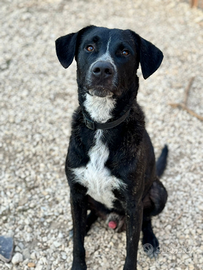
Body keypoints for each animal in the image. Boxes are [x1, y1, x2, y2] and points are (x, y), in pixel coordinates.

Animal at [55, 25, 168, 270]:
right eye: (89, 47)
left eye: (125, 52)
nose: (102, 69)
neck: (102, 124)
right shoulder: (75, 192)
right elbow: (78, 244)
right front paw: (78, 263)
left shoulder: (133, 204)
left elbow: (131, 250)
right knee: (89, 215)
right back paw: (84, 225)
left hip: (158, 192)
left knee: (148, 218)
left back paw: (150, 240)